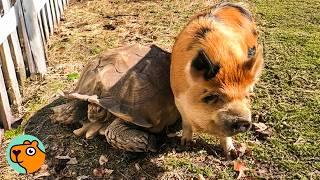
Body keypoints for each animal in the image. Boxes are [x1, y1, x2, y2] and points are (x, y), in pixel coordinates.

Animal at [170, 2, 262, 158]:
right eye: (212, 96)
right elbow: (186, 122)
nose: (243, 121)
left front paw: (232, 154)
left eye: (246, 96)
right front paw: (185, 144)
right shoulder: (178, 98)